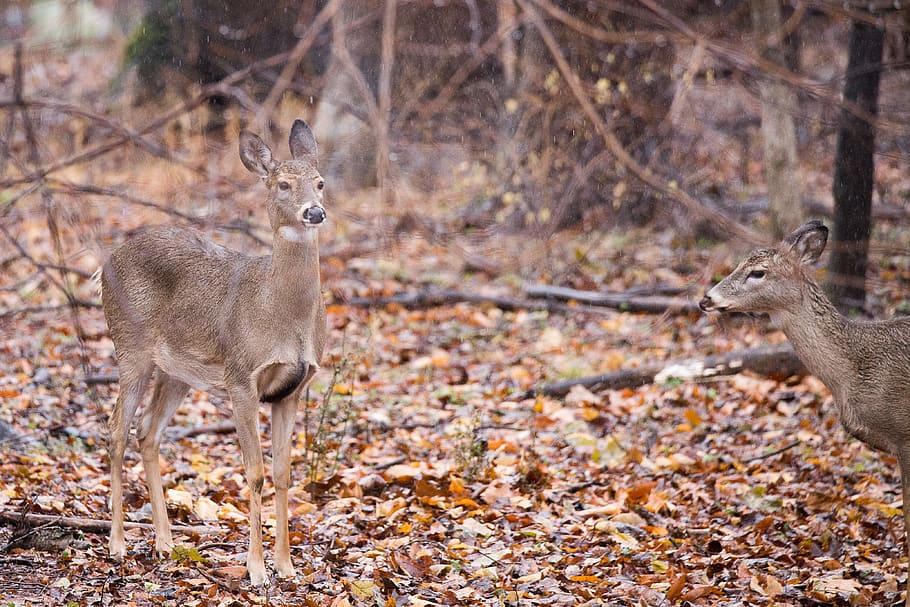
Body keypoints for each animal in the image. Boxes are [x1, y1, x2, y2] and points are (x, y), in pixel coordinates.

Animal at [101, 119, 328, 586]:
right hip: (129, 347)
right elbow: (255, 473)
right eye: (281, 184)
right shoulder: (241, 376)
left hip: (176, 371)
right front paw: (257, 569)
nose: (314, 212)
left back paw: (165, 543)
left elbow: (283, 473)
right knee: (116, 429)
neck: (283, 315)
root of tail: (105, 263)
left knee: (147, 432)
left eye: (319, 182)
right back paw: (117, 545)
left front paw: (287, 566)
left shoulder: (293, 388)